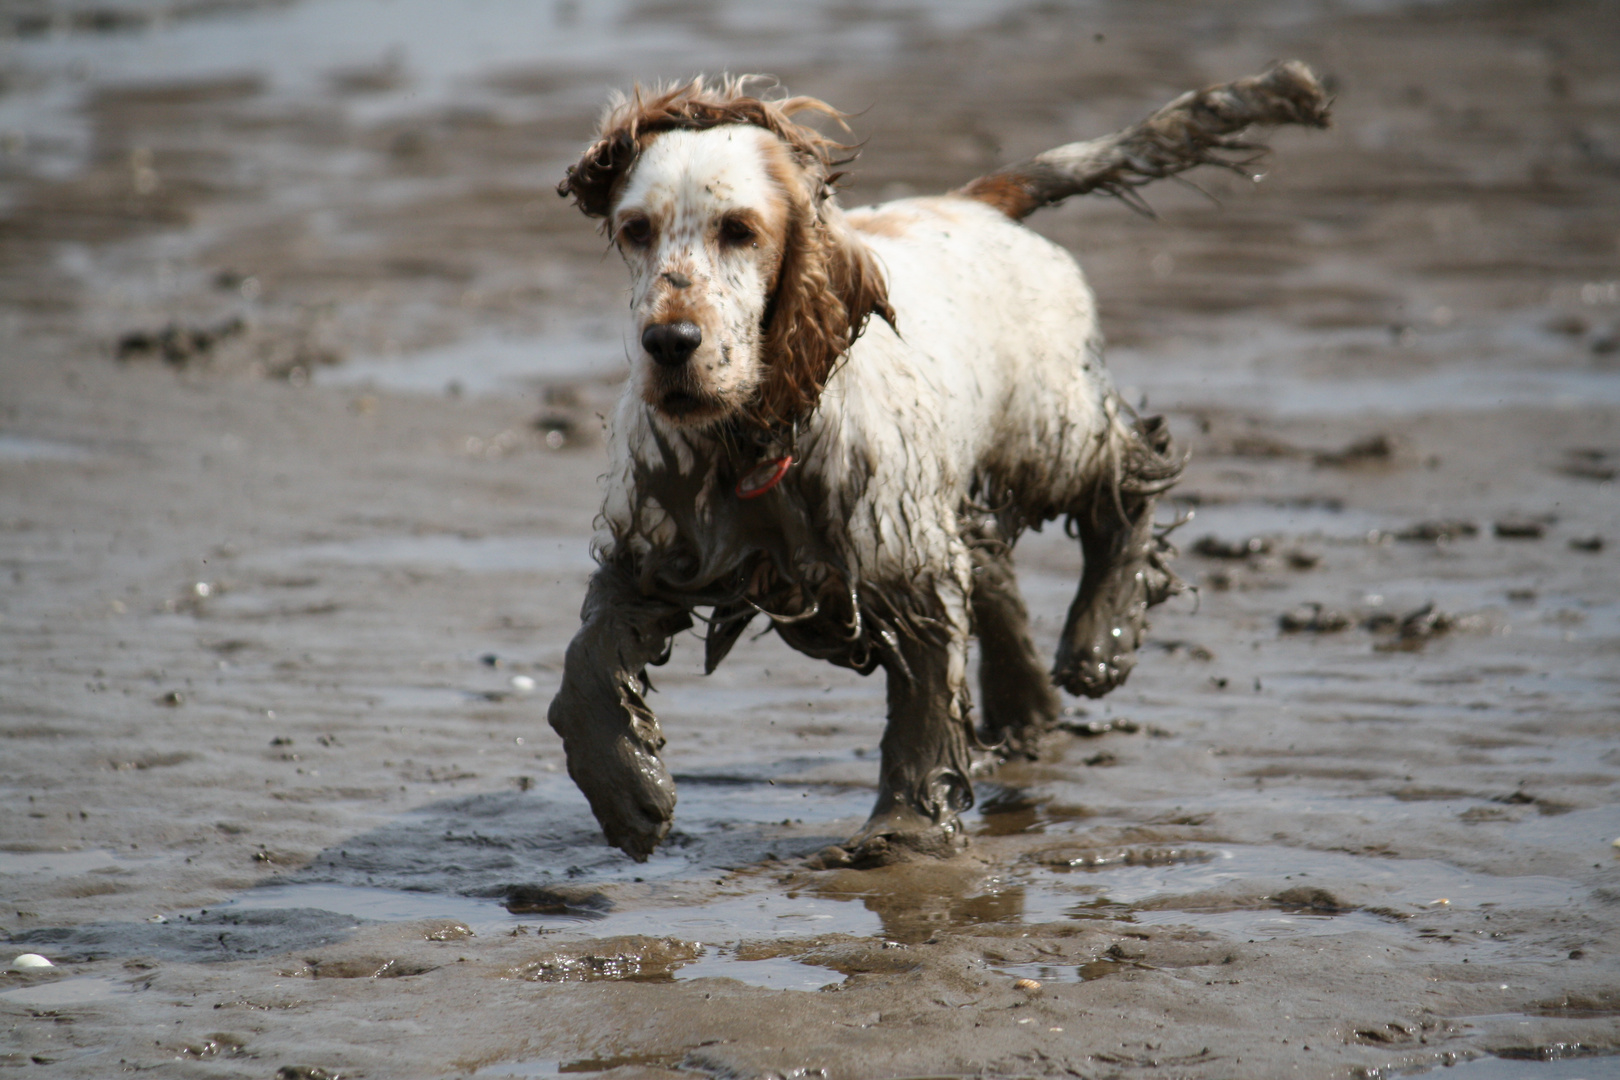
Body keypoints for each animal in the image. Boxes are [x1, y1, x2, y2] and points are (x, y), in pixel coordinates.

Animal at [547, 65, 1328, 861]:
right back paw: (1026, 708)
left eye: (739, 230)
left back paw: (1097, 638)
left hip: (1051, 429)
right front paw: (628, 792)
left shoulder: (907, 567)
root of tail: (977, 202)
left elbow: (923, 703)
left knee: (1129, 479)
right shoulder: (655, 553)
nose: (669, 342)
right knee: (998, 568)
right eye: (635, 230)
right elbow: (587, 657)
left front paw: (902, 828)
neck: (753, 440)